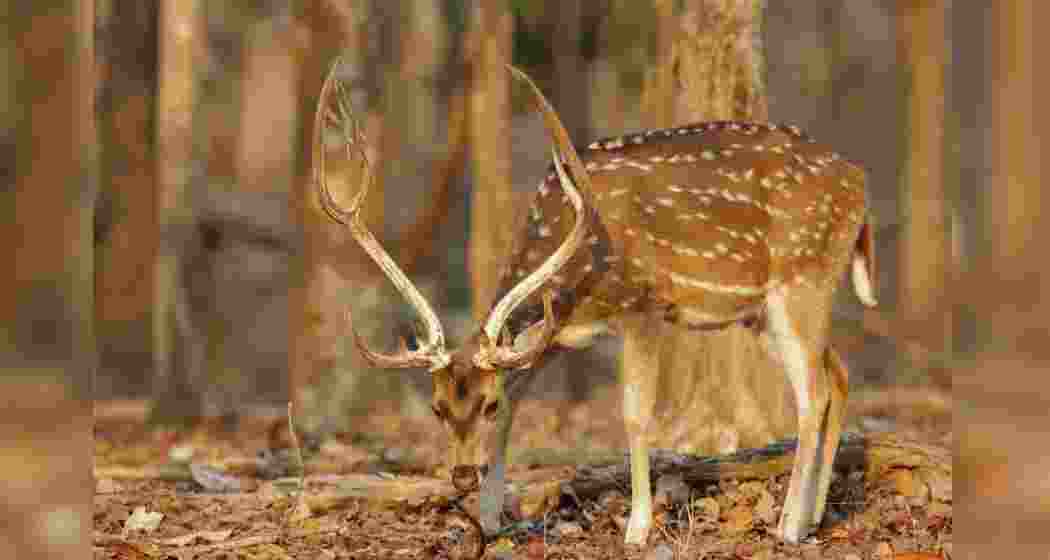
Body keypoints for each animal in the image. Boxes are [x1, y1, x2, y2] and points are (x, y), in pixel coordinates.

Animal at [314, 62, 877, 546]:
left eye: (484, 404)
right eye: (437, 406)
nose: (461, 475)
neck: (576, 285)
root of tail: (861, 185)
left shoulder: (644, 307)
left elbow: (634, 415)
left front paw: (637, 528)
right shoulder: (554, 336)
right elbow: (521, 397)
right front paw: (492, 518)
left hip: (803, 276)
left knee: (813, 392)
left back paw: (788, 525)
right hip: (761, 310)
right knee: (839, 374)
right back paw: (815, 515)